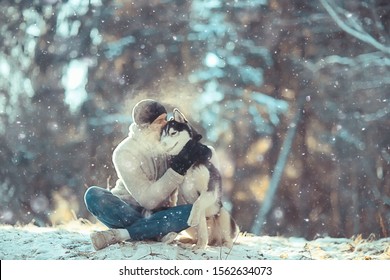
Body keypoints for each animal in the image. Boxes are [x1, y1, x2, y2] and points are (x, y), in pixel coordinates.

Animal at [161, 108, 239, 248]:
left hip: (223, 214)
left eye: (173, 133)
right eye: (162, 136)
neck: (188, 160)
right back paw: (185, 241)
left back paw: (225, 245)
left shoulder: (209, 191)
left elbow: (198, 204)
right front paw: (200, 246)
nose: (162, 144)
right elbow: (201, 226)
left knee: (228, 238)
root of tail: (215, 240)